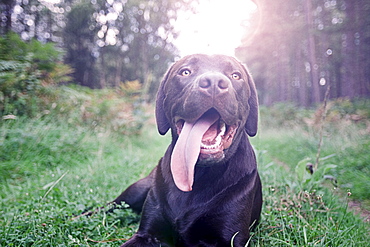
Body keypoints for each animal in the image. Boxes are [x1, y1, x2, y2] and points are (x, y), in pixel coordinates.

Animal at [106, 55, 264, 246]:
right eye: (185, 72)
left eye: (235, 75)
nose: (213, 82)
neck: (197, 175)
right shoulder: (148, 234)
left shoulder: (232, 238)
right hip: (135, 191)